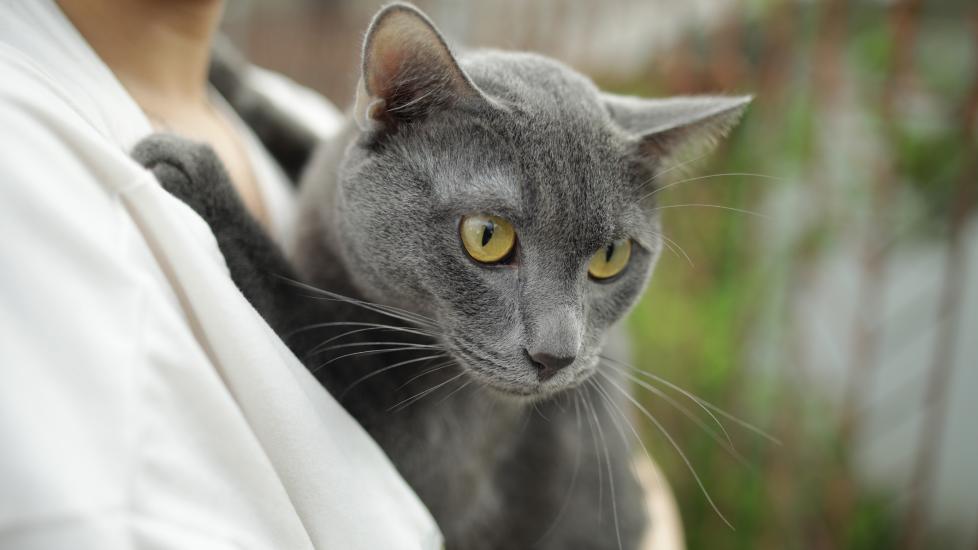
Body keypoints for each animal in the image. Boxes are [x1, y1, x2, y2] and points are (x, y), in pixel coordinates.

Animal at [137, 2, 748, 548]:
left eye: (611, 256)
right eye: (487, 236)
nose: (556, 356)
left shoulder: (435, 463)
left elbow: (306, 319)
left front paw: (194, 173)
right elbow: (304, 137)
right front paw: (225, 70)